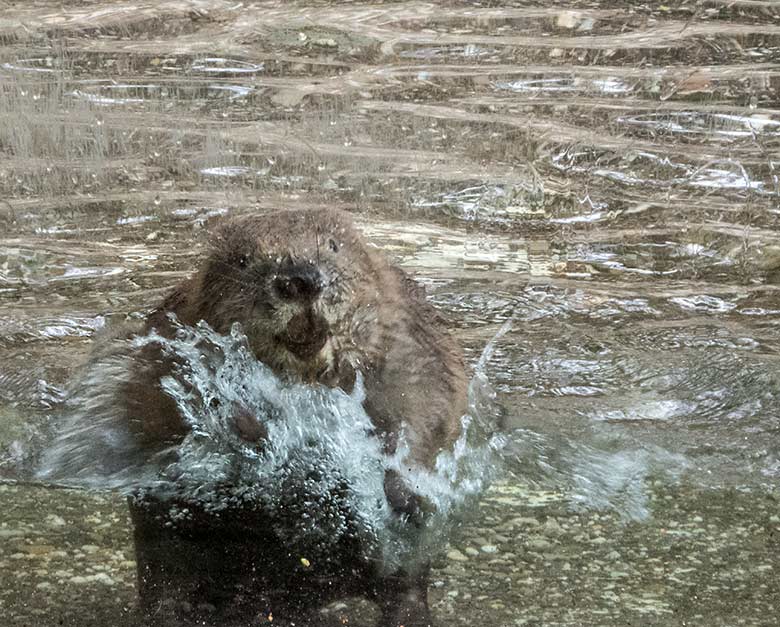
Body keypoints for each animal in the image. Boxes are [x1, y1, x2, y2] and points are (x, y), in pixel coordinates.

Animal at [124, 210, 466, 627]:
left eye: (333, 246)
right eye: (243, 261)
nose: (299, 280)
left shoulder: (412, 337)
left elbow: (429, 404)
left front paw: (401, 486)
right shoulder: (167, 344)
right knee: (166, 574)